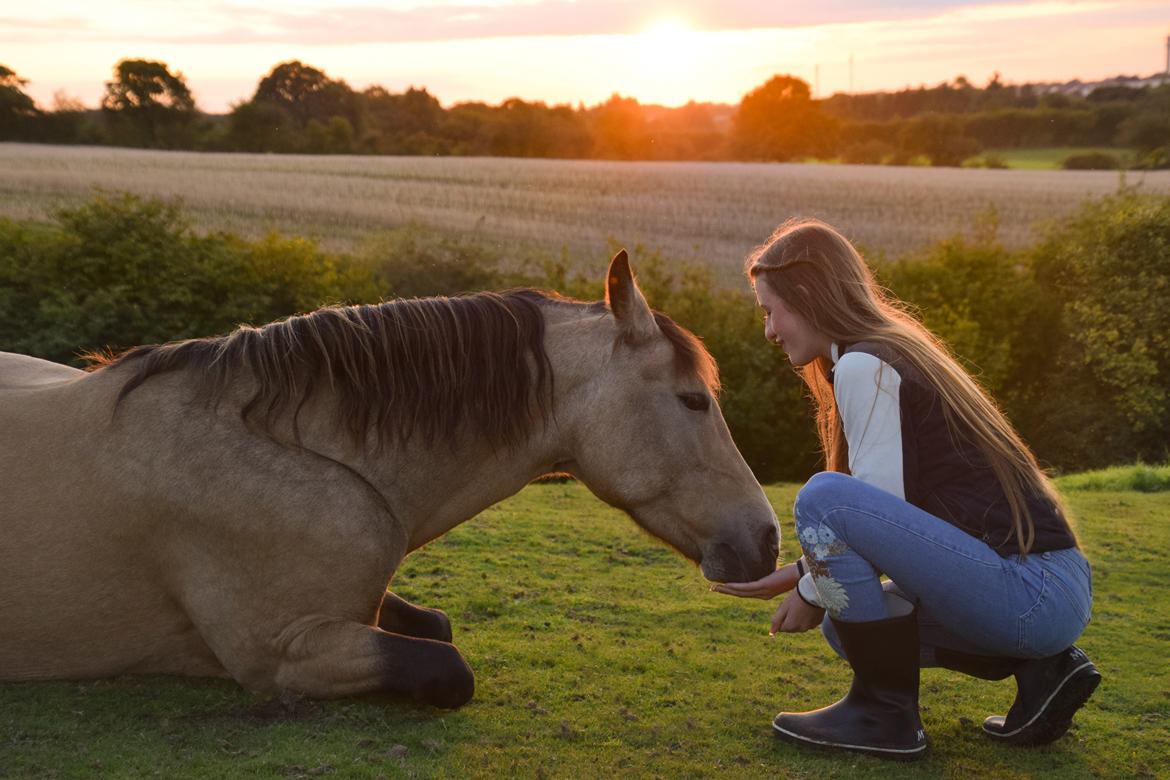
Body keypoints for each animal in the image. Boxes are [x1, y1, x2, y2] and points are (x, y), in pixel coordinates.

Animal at [0, 253, 776, 711]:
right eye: (693, 400)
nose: (766, 539)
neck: (292, 452)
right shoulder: (285, 650)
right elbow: (448, 667)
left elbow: (434, 623)